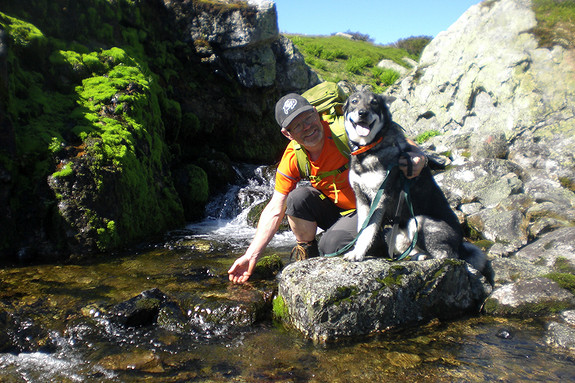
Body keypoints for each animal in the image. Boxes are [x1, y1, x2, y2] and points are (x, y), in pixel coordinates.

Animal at [342, 90, 486, 272]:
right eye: (354, 101)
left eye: (374, 103)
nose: (363, 113)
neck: (369, 150)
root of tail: (461, 244)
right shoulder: (361, 199)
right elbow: (362, 229)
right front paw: (357, 250)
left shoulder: (379, 198)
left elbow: (369, 230)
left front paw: (358, 253)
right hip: (398, 233)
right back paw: (416, 255)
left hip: (418, 222)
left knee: (448, 256)